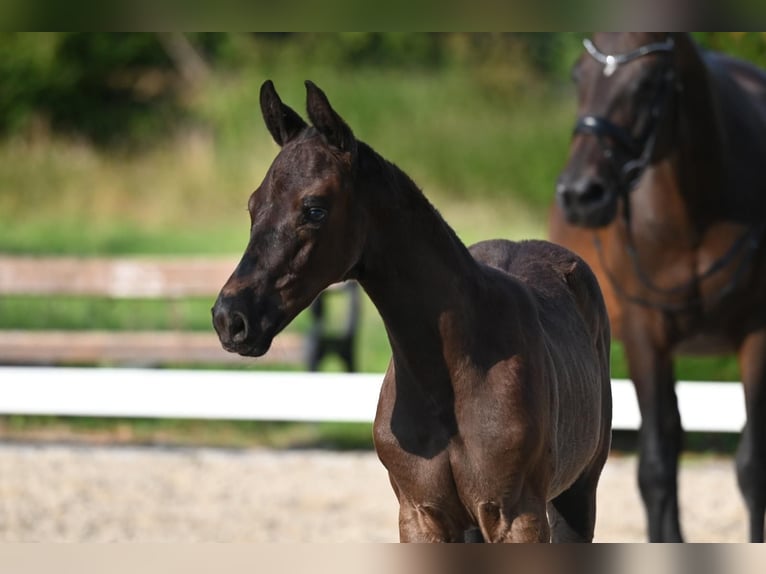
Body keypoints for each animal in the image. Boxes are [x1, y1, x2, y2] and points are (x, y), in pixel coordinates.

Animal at [213, 81, 616, 544]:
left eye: (314, 208)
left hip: (578, 494)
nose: (231, 318)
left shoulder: (518, 518)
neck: (450, 378)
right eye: (253, 205)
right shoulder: (420, 515)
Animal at [556, 31, 766, 544]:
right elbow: (654, 467)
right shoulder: (644, 335)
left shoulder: (758, 332)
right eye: (578, 75)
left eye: (649, 81)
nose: (580, 194)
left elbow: (753, 468)